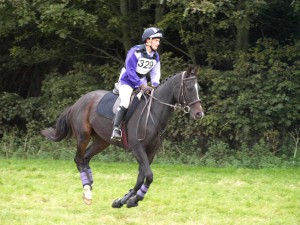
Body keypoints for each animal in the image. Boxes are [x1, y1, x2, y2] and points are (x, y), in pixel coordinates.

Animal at [41, 65, 204, 207]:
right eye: (189, 88)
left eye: (198, 89)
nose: (199, 114)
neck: (153, 112)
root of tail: (77, 102)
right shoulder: (137, 148)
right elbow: (148, 175)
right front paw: (132, 199)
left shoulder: (151, 150)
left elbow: (141, 177)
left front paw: (125, 200)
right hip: (83, 137)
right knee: (79, 159)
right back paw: (87, 191)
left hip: (101, 141)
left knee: (86, 158)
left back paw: (90, 185)